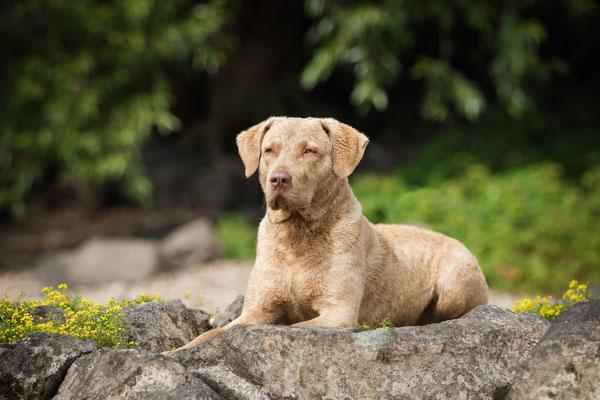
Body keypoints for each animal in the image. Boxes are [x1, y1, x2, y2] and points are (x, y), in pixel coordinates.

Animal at [166, 117, 490, 354]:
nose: (279, 179)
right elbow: (213, 333)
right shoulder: (257, 308)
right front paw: (173, 352)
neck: (297, 236)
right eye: (269, 150)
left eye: (309, 151)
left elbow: (293, 328)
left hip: (455, 279)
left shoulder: (339, 312)